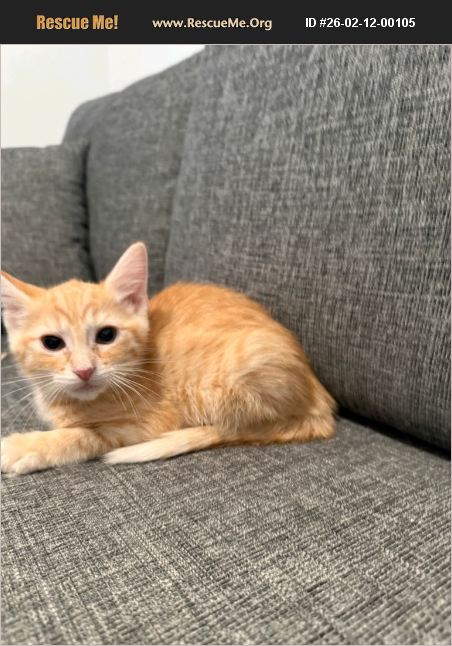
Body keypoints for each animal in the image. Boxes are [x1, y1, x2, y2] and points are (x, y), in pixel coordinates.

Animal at [1, 242, 335, 475]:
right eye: (52, 343)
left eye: (106, 335)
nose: (84, 370)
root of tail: (320, 399)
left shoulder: (148, 423)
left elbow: (85, 435)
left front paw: (26, 447)